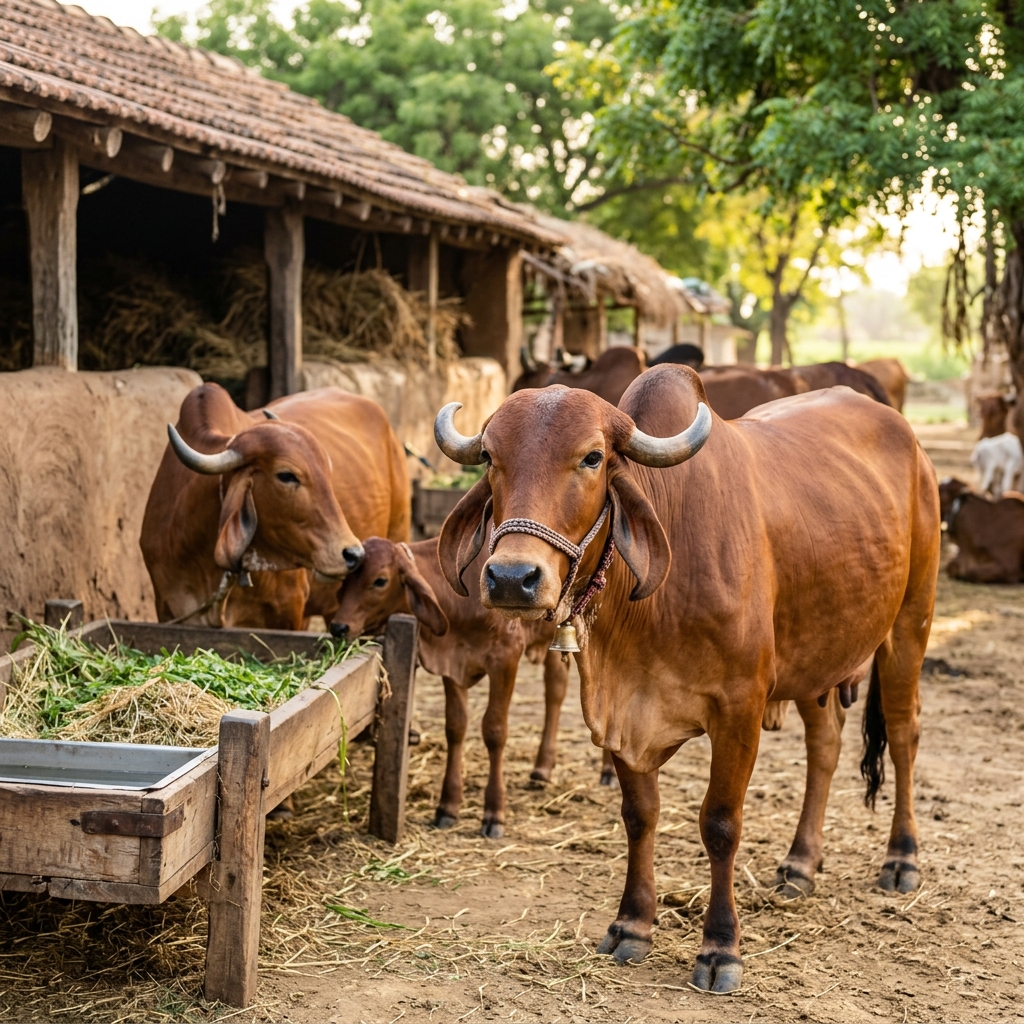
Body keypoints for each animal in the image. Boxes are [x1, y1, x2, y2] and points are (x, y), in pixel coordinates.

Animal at [329, 536, 615, 836]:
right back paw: (542, 769)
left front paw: (494, 812)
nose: (338, 627)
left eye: (380, 581)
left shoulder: (505, 659)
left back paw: (608, 771)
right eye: (346, 578)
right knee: (555, 691)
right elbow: (455, 727)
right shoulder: (453, 664)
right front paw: (448, 806)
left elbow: (494, 731)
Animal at [432, 367, 940, 993]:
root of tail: (906, 434)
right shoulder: (620, 713)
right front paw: (631, 925)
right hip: (817, 657)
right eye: (491, 458)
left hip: (910, 624)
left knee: (904, 733)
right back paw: (801, 863)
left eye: (593, 458)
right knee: (825, 744)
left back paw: (901, 858)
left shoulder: (741, 708)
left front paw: (720, 948)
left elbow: (720, 823)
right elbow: (639, 817)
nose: (511, 578)